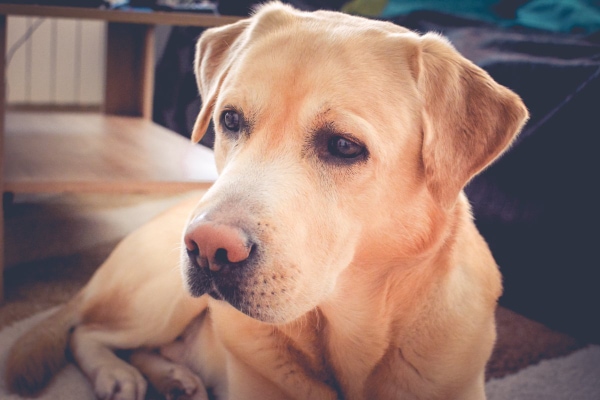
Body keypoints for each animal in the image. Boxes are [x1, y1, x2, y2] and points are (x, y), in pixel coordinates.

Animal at [7, 3, 528, 400]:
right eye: (230, 120)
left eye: (344, 146)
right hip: (160, 299)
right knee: (86, 332)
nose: (207, 248)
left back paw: (174, 378)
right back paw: (118, 376)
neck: (347, 334)